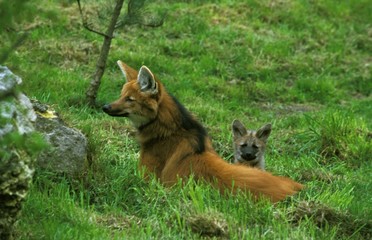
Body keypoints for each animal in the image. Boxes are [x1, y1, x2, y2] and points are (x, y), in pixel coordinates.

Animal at [101, 61, 302, 202]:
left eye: (130, 99)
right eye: (121, 95)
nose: (105, 106)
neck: (168, 131)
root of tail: (297, 187)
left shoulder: (148, 177)